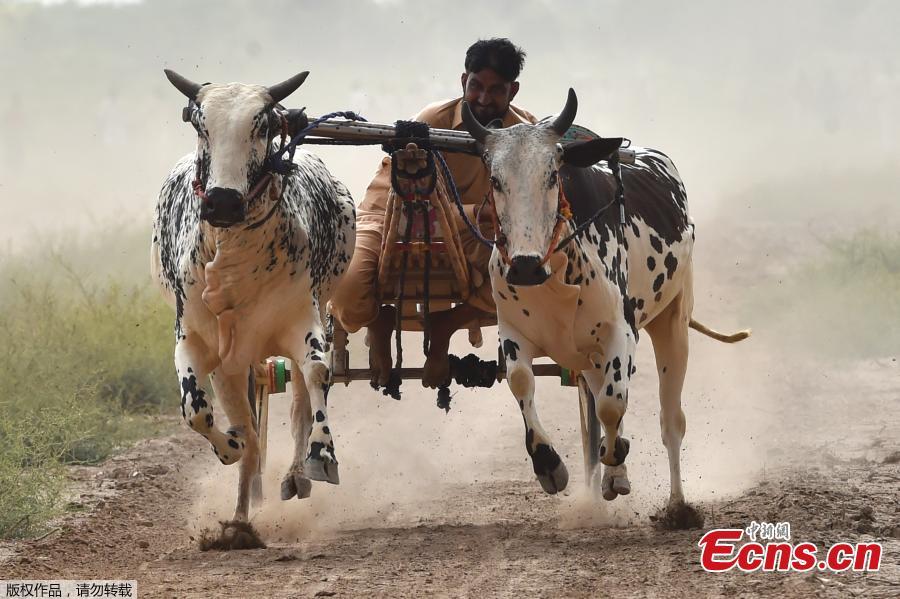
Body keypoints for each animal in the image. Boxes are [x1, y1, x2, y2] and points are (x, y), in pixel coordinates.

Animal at [151, 70, 355, 530]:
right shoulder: (195, 340)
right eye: (200, 124)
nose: (223, 201)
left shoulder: (304, 321)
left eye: (262, 125)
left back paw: (295, 475)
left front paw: (322, 453)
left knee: (298, 401)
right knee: (243, 415)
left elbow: (317, 375)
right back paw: (241, 516)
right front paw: (229, 449)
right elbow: (197, 410)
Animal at [460, 89, 748, 523]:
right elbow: (522, 382)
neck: (555, 267)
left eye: (552, 174)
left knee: (670, 420)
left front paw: (616, 455)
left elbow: (613, 407)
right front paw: (549, 465)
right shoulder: (513, 333)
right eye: (495, 179)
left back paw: (675, 506)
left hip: (672, 322)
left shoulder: (621, 333)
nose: (524, 265)